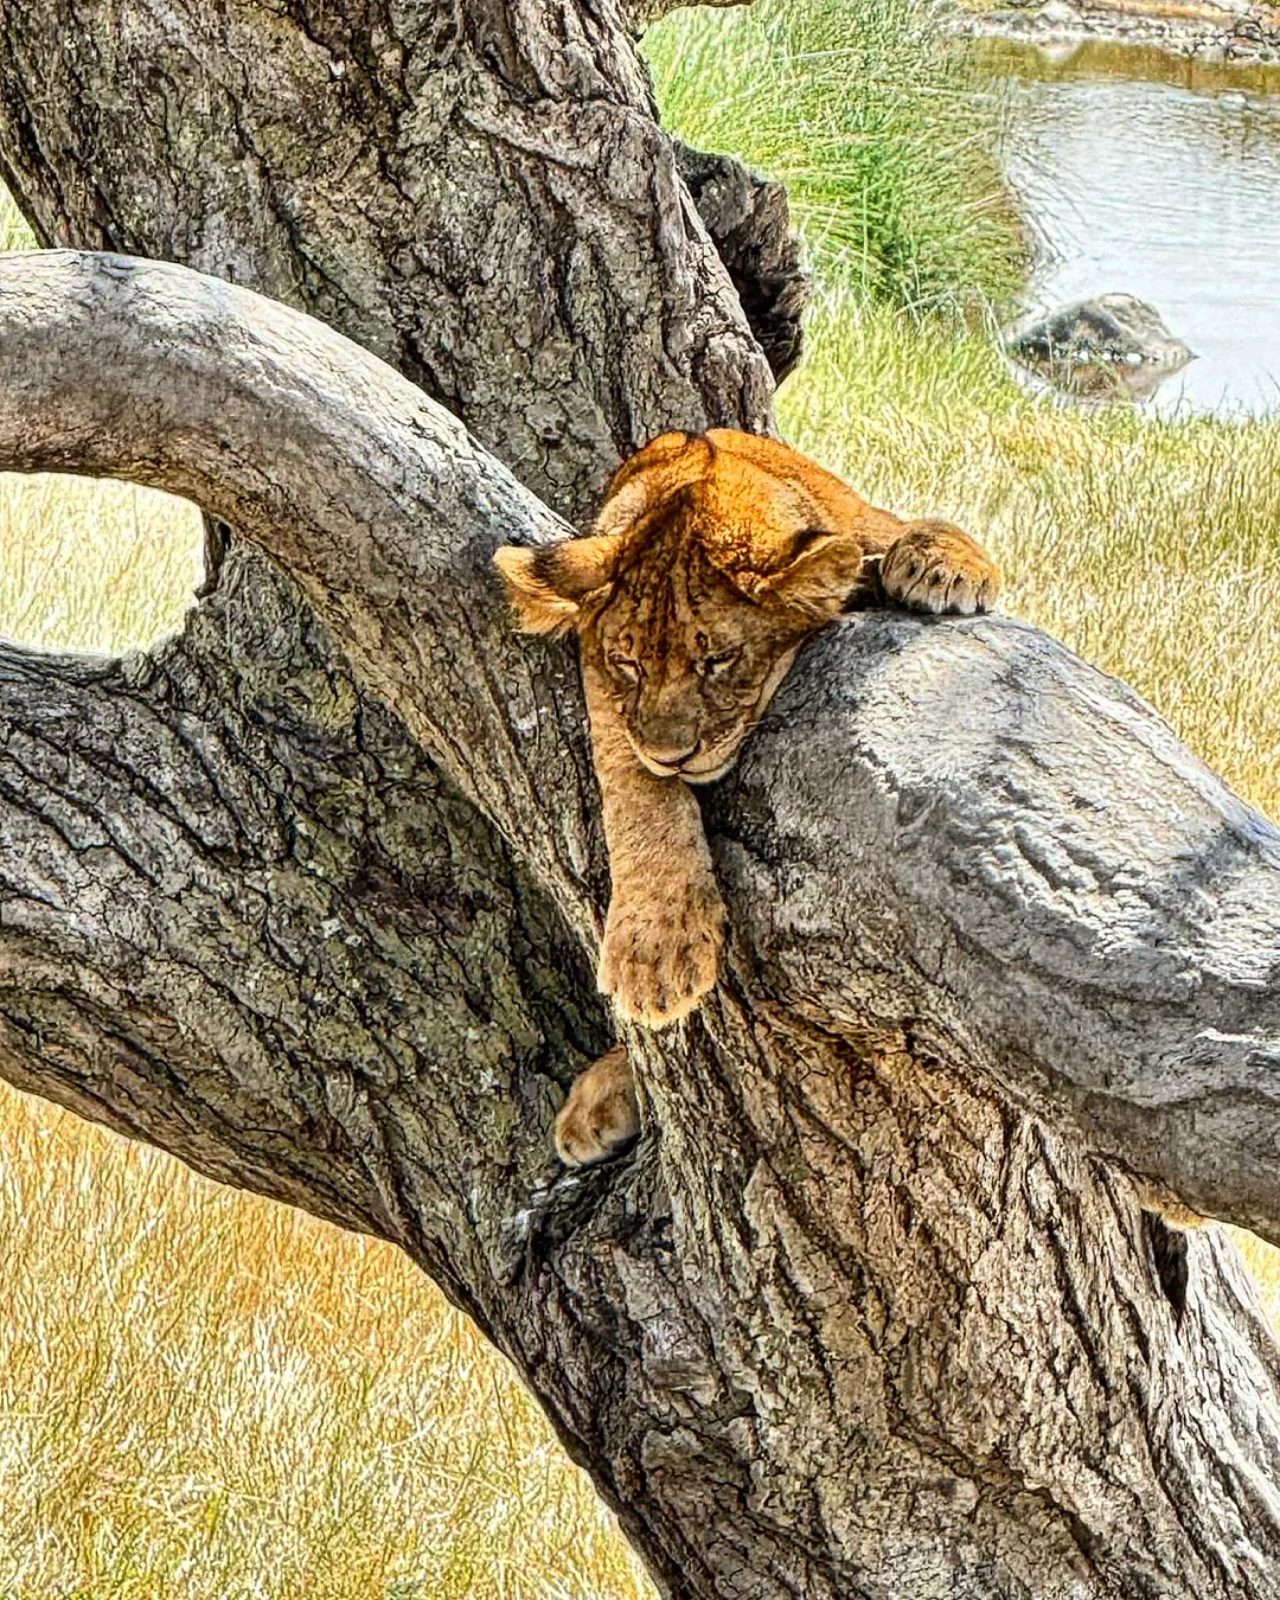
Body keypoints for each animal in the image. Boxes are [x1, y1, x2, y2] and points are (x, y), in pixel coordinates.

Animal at [496, 428, 999, 1166]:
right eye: (629, 663)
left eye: (717, 661)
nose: (672, 753)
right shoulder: (600, 677)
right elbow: (633, 785)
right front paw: (657, 948)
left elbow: (905, 531)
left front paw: (942, 561)